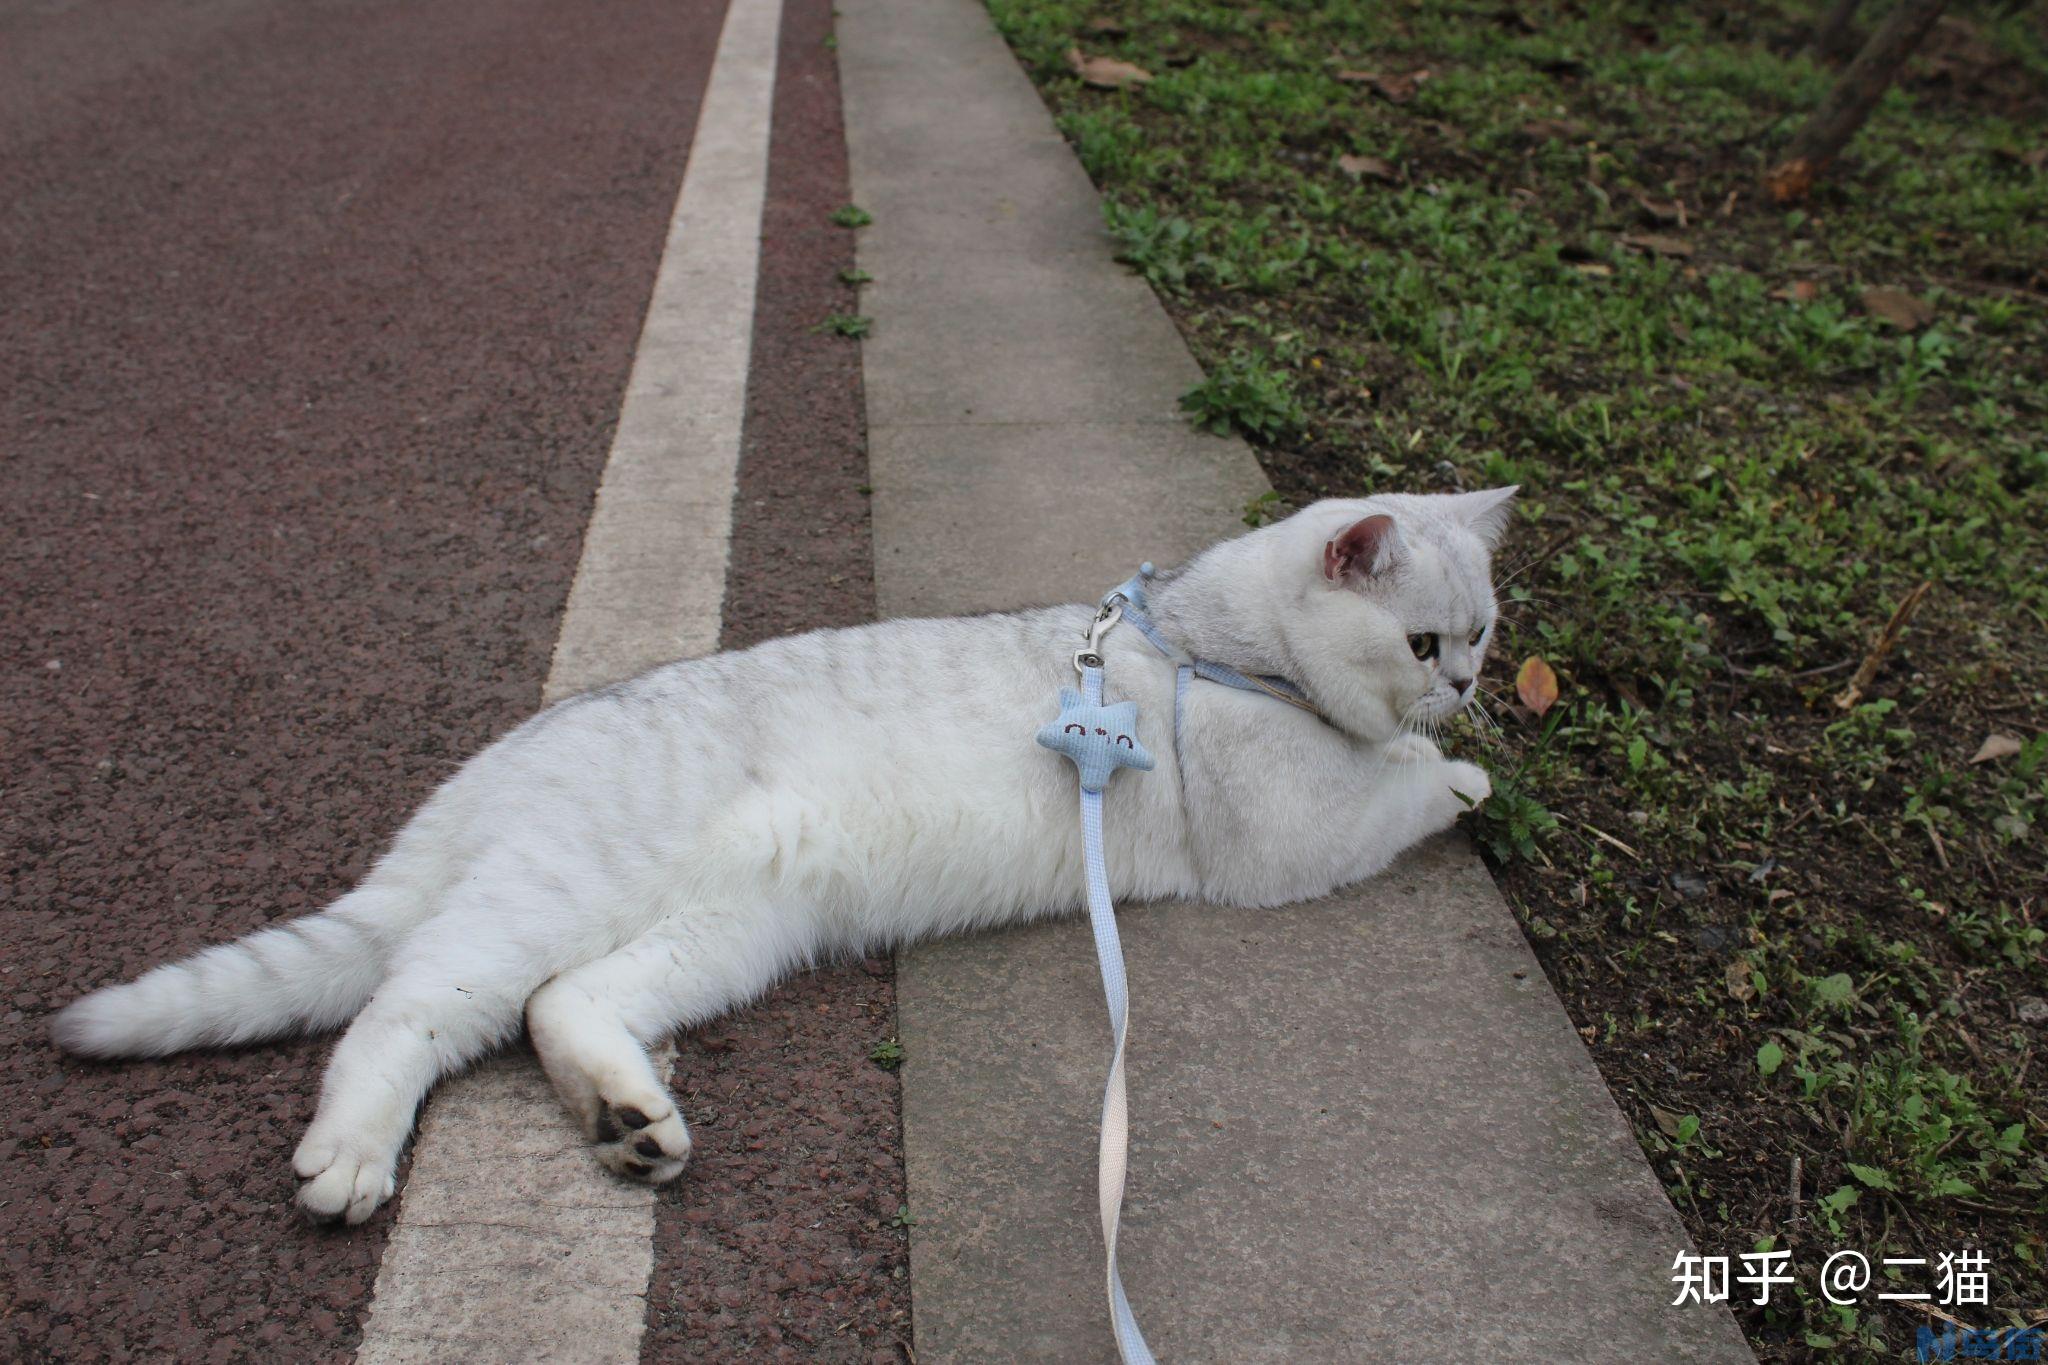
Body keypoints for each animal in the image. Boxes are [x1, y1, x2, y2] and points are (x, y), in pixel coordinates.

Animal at [56, 491, 1515, 1227]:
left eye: (1486, 633)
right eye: (1427, 642)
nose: (1469, 689)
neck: (1207, 639)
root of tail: (495, 761)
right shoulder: (1291, 837)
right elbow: (1392, 790)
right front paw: (1463, 775)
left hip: (724, 936)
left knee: (561, 1007)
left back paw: (629, 1124)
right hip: (540, 904)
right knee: (402, 1010)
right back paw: (354, 1157)